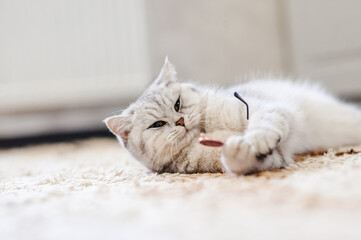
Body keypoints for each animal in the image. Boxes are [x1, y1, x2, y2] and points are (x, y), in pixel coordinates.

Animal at [104, 58, 360, 174]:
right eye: (157, 124)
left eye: (177, 104)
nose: (180, 121)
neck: (205, 131)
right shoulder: (277, 157)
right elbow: (248, 160)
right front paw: (239, 150)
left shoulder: (264, 109)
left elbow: (262, 126)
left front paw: (255, 139)